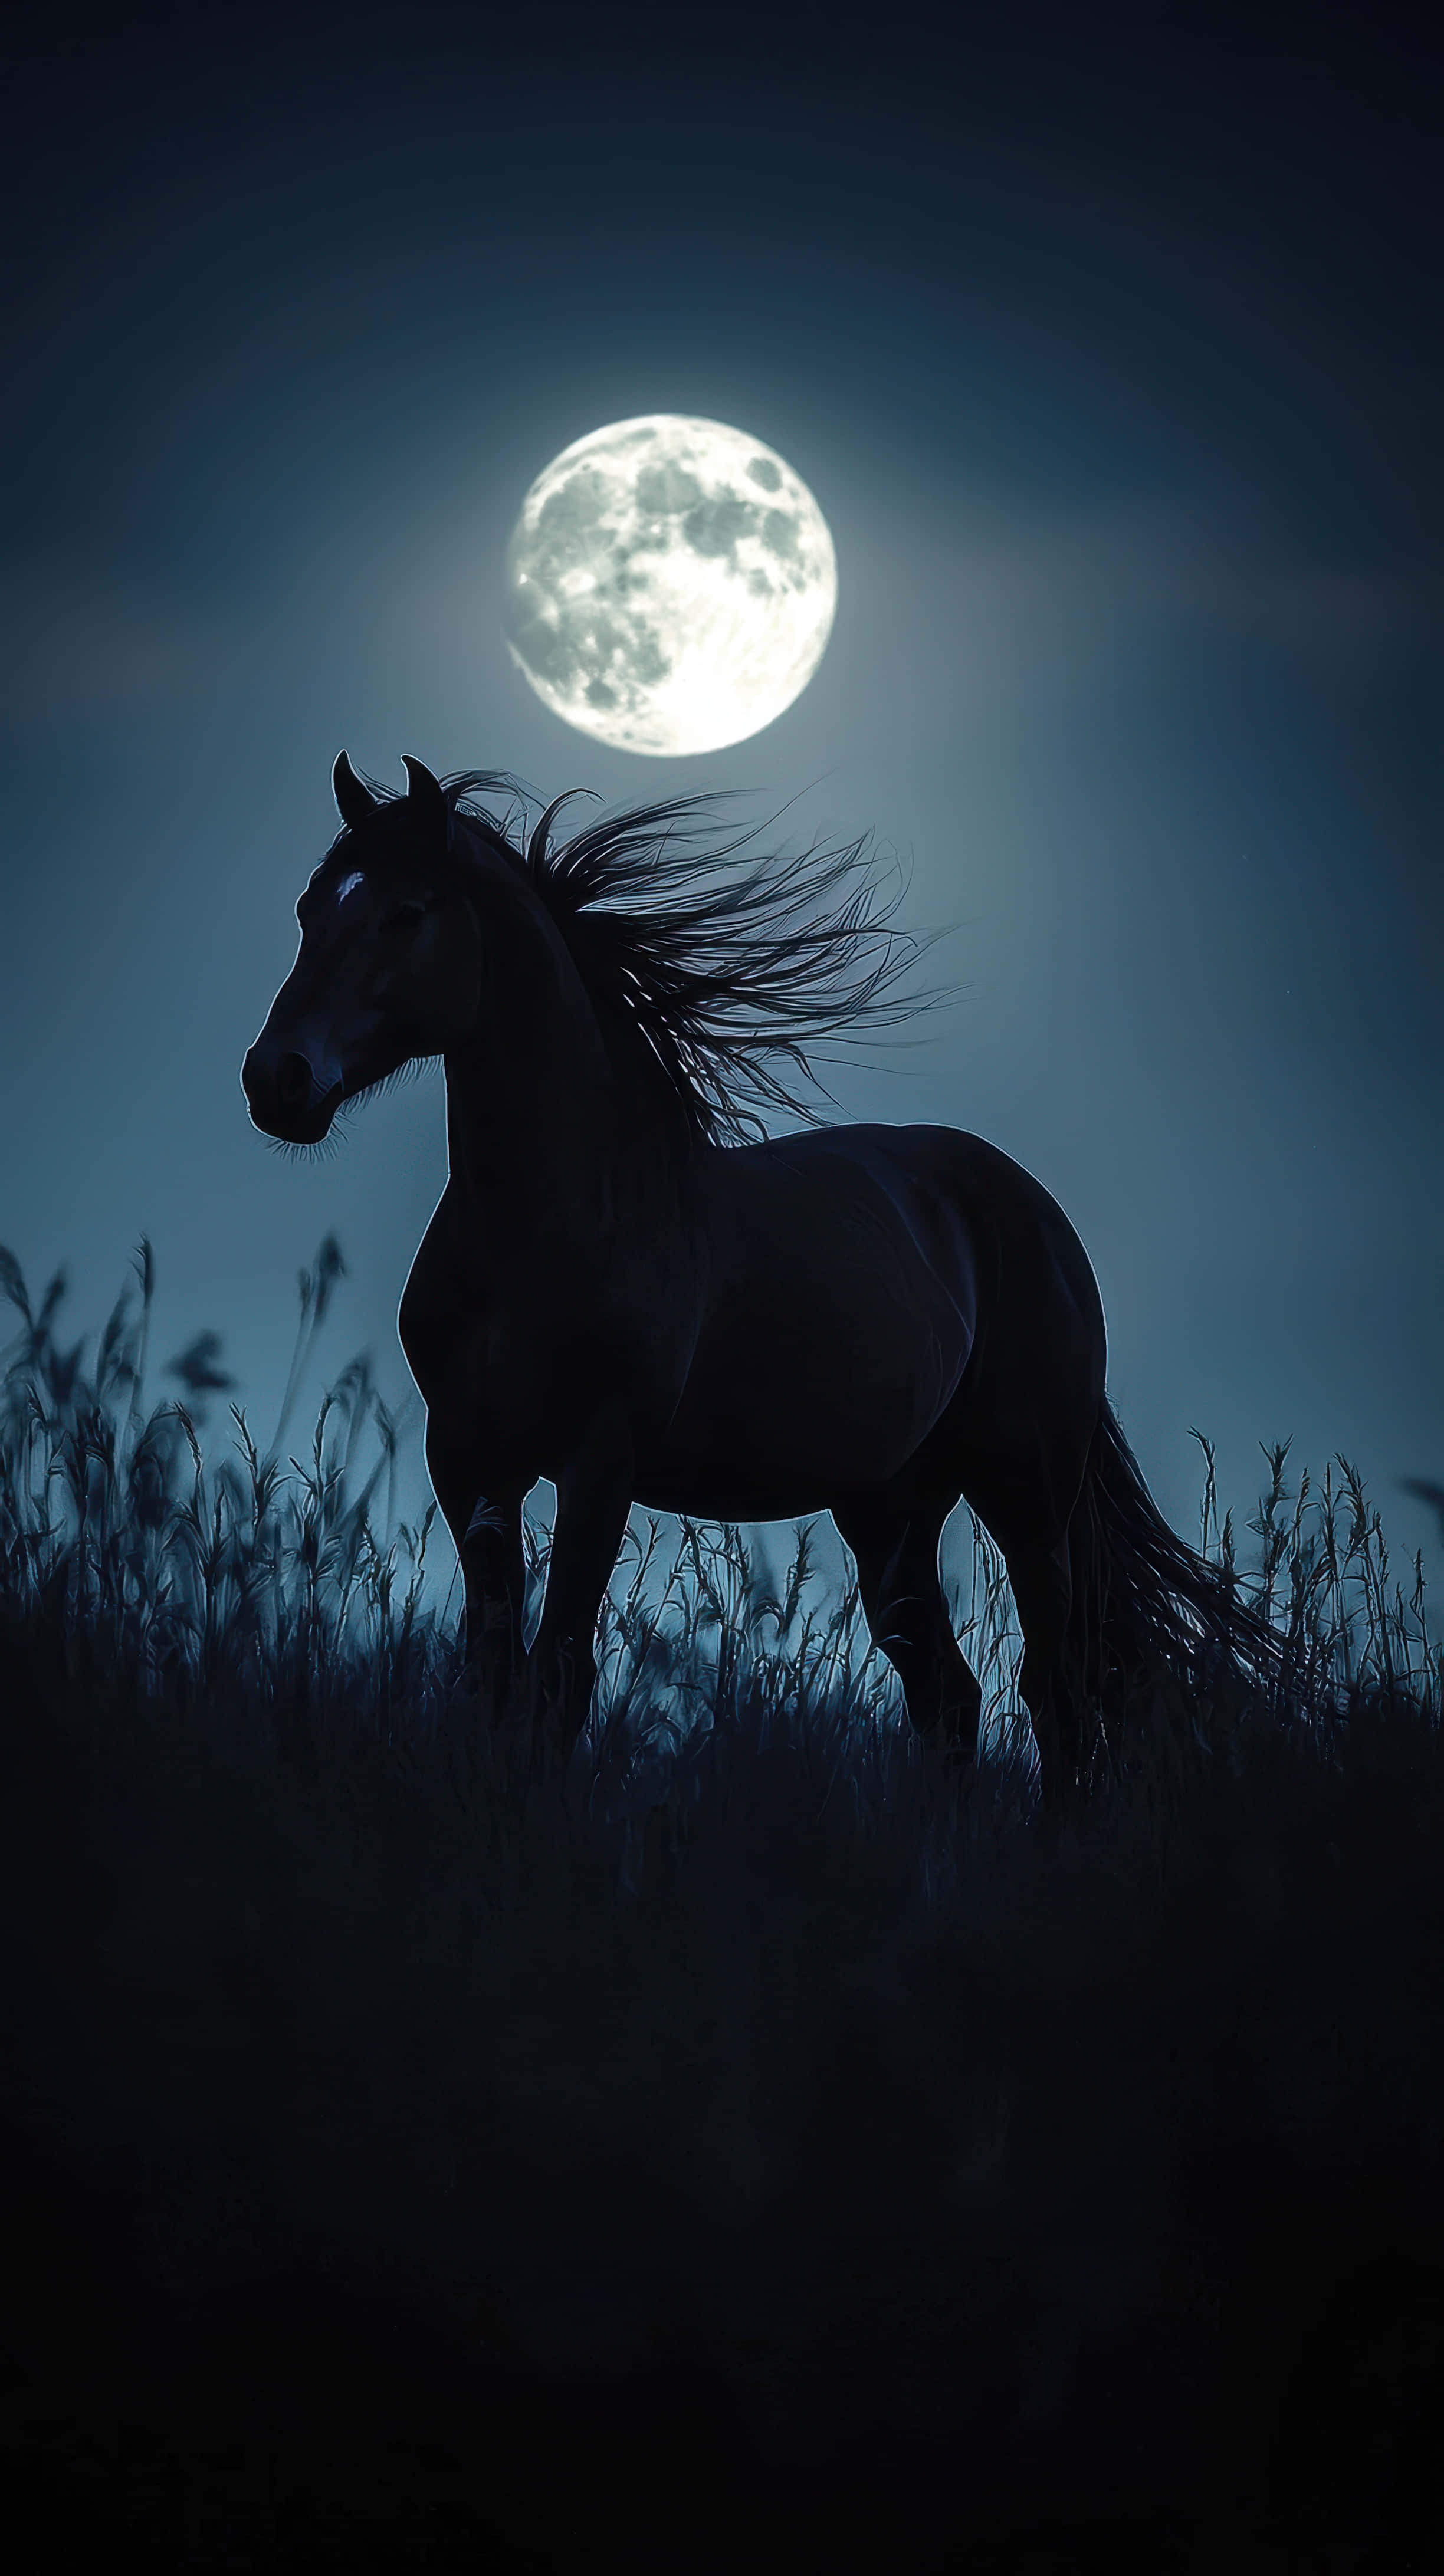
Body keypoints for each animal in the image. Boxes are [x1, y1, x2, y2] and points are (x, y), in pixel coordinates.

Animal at [242, 752, 1280, 1806]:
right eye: (307, 911)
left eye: (405, 914)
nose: (275, 1079)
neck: (555, 1219)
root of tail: (1029, 1209)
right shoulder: (467, 1463)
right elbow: (491, 1676)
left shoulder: (598, 1465)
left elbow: (559, 1675)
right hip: (891, 1509)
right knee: (950, 1697)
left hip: (1029, 1495)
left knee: (1055, 1689)